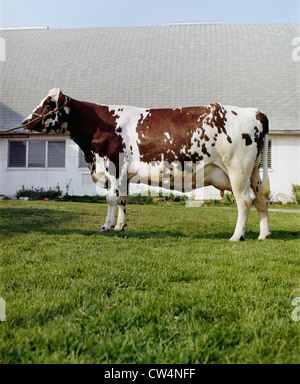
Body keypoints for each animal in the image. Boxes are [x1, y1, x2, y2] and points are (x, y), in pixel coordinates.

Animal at [23, 88, 272, 242]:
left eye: (49, 102)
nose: (26, 121)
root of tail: (256, 112)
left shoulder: (113, 164)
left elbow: (111, 198)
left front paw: (105, 227)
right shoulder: (123, 173)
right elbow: (123, 198)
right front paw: (120, 226)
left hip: (238, 170)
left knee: (244, 200)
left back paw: (237, 236)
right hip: (253, 173)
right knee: (260, 198)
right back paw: (264, 234)